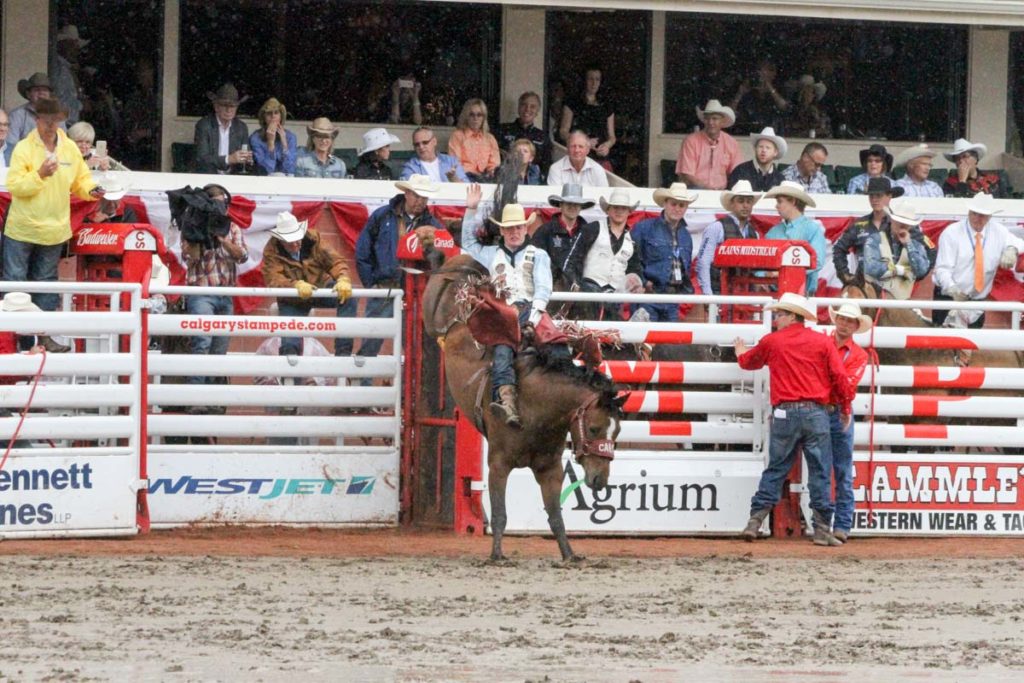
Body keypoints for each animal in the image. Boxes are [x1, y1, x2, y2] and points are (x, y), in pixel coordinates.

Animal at [419, 253, 626, 565]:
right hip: (433, 313)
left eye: (617, 433)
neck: (538, 409)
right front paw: (497, 555)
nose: (600, 480)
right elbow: (500, 514)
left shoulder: (550, 468)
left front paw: (569, 554)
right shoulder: (498, 464)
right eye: (593, 428)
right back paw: (432, 251)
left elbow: (555, 516)